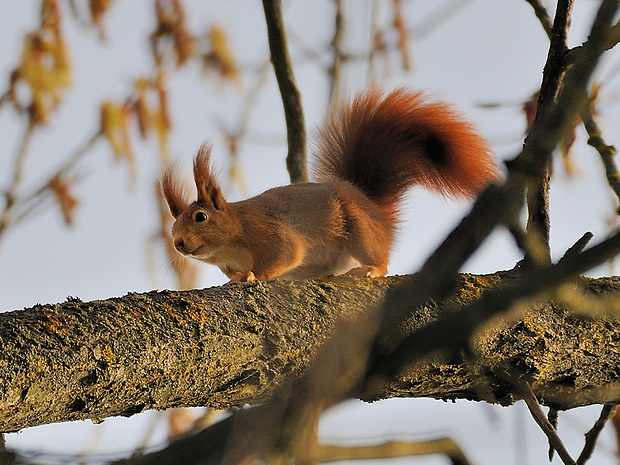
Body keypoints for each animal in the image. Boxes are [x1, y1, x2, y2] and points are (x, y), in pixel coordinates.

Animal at [162, 88, 502, 280]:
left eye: (201, 217)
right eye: (173, 226)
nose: (178, 243)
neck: (233, 234)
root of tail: (375, 209)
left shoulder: (267, 231)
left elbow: (285, 254)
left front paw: (254, 276)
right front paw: (239, 278)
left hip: (360, 230)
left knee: (380, 259)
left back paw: (372, 269)